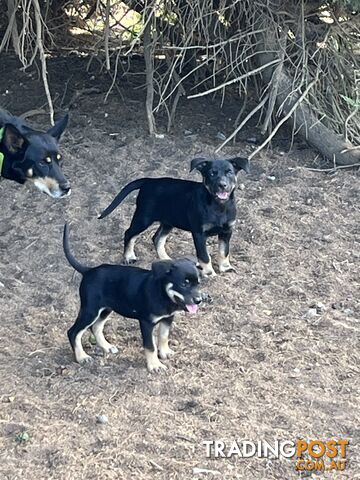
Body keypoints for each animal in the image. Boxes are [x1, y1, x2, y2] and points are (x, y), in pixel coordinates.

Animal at [63, 224, 204, 372]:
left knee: (96, 327)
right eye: (184, 284)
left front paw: (165, 352)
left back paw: (106, 347)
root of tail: (88, 271)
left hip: (106, 309)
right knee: (73, 332)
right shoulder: (146, 322)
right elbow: (150, 346)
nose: (199, 300)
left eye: (198, 283)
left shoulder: (168, 318)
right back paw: (82, 357)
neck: (163, 294)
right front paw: (155, 365)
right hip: (90, 310)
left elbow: (164, 336)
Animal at [99, 158, 250, 278]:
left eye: (229, 172)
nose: (222, 185)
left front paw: (226, 268)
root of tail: (149, 181)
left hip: (168, 221)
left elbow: (224, 251)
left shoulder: (227, 231)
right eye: (212, 173)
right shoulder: (199, 233)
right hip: (144, 217)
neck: (219, 206)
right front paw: (209, 273)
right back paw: (129, 257)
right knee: (129, 233)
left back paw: (166, 259)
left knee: (156, 238)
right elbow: (204, 256)